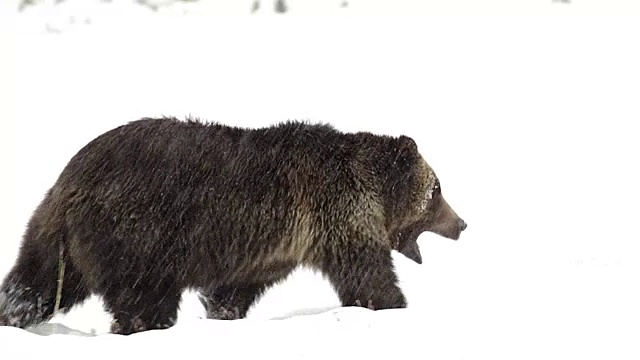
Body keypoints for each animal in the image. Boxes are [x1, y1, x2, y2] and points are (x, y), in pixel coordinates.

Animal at [0, 117, 464, 334]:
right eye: (437, 189)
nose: (461, 223)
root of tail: (71, 176)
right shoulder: (336, 214)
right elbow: (366, 273)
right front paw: (395, 305)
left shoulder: (273, 245)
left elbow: (234, 289)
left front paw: (223, 313)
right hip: (138, 234)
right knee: (144, 298)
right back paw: (144, 327)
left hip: (58, 237)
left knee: (35, 281)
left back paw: (14, 314)